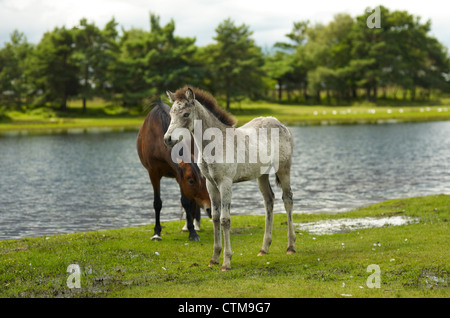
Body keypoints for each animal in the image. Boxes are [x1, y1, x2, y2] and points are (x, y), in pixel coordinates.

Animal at [135, 100, 211, 240]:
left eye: (205, 181)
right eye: (191, 181)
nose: (210, 209)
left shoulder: (179, 175)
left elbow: (186, 202)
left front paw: (193, 232)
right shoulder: (153, 174)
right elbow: (157, 203)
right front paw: (156, 233)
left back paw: (195, 225)